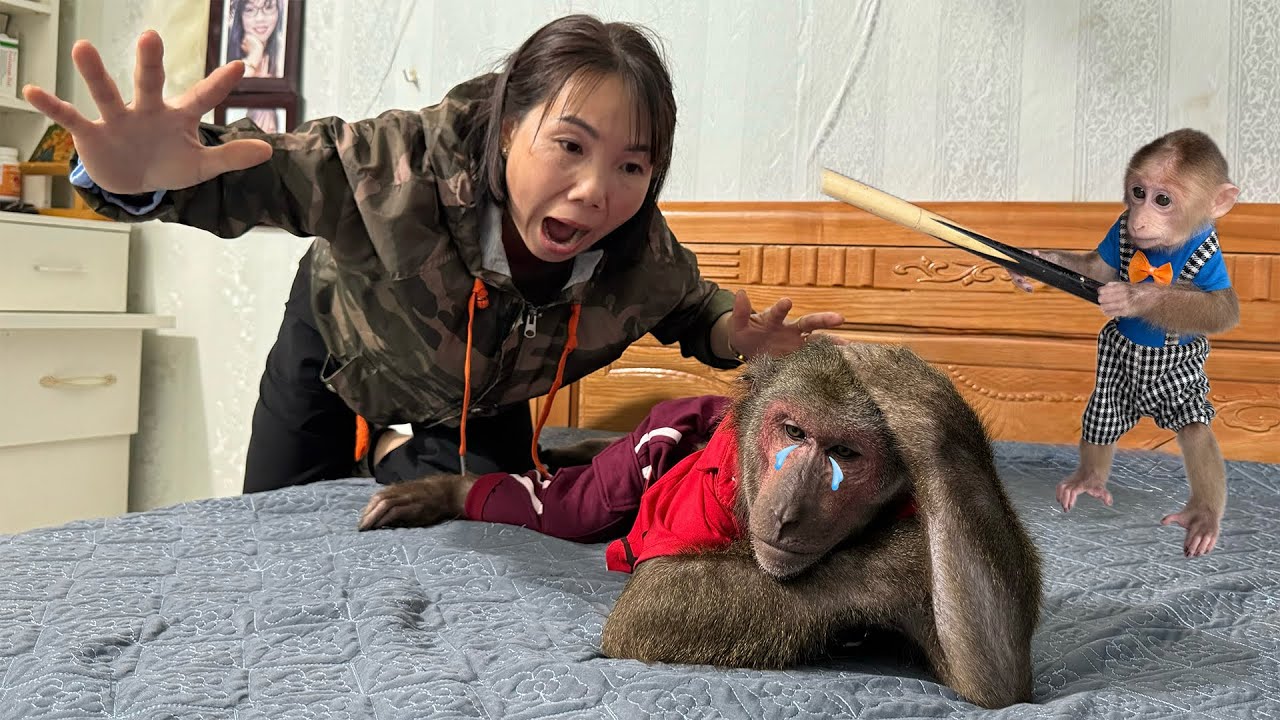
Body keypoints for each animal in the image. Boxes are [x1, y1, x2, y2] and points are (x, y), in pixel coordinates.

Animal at [358, 338, 1044, 709]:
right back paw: (467, 486)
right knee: (569, 505)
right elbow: (651, 601)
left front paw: (916, 399)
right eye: (793, 433)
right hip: (641, 455)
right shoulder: (701, 503)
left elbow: (990, 673)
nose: (788, 511)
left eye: (845, 454)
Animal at [1009, 128, 1240, 558]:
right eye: (1137, 192)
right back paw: (1090, 479)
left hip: (1181, 387)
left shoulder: (1211, 256)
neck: (1161, 252)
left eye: (1162, 200)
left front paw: (1134, 296)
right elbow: (1097, 267)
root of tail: (1144, 406)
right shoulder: (1117, 234)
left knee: (1196, 433)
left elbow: (1221, 310)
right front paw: (1030, 261)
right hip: (1112, 381)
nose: (1139, 216)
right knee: (1101, 422)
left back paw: (1203, 515)